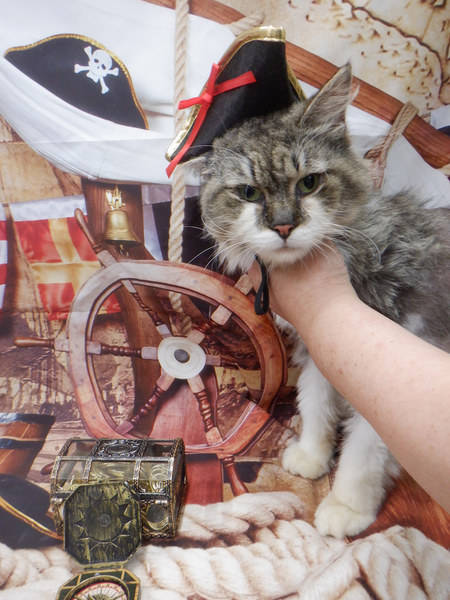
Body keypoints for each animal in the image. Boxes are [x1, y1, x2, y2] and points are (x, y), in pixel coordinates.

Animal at [186, 64, 450, 538]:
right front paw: (311, 456)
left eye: (309, 183)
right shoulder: (322, 350)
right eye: (249, 193)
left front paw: (347, 507)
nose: (283, 226)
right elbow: (316, 405)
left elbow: (363, 453)